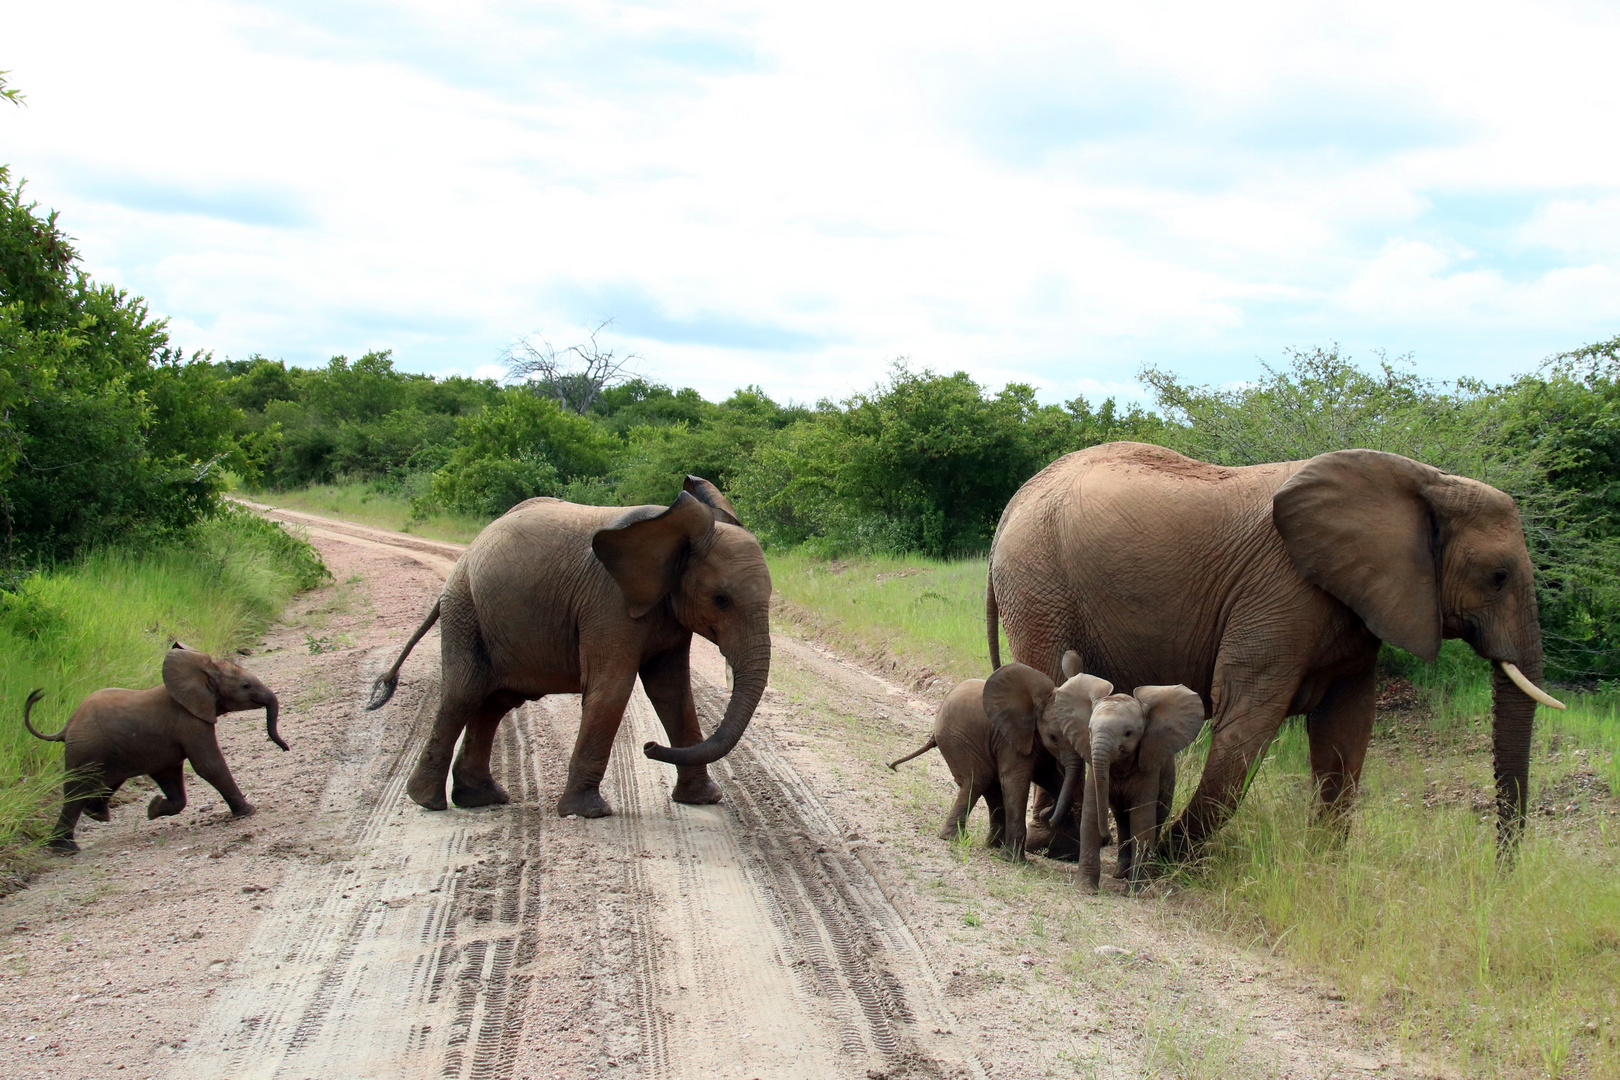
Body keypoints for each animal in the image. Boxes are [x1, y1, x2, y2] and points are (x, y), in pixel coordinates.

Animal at [24, 641, 285, 854]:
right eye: (245, 686)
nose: (285, 749)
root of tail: (66, 727)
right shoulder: (190, 722)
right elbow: (208, 765)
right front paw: (248, 811)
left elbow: (172, 777)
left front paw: (152, 809)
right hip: (85, 749)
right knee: (77, 789)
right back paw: (65, 849)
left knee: (104, 782)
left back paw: (96, 815)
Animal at [369, 476, 771, 816]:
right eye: (721, 600)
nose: (648, 747)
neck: (671, 532)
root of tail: (467, 553)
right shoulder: (607, 603)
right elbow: (612, 689)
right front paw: (588, 812)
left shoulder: (666, 610)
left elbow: (673, 693)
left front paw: (703, 800)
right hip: (466, 610)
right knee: (463, 695)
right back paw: (428, 802)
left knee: (494, 703)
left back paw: (482, 799)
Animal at [978, 443, 1561, 854]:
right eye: (1498, 577)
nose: (1502, 872)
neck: (1424, 480)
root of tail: (1011, 506)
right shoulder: (1282, 593)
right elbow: (1248, 718)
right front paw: (1168, 856)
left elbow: (1346, 733)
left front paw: (1322, 873)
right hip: (1040, 586)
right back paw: (1051, 845)